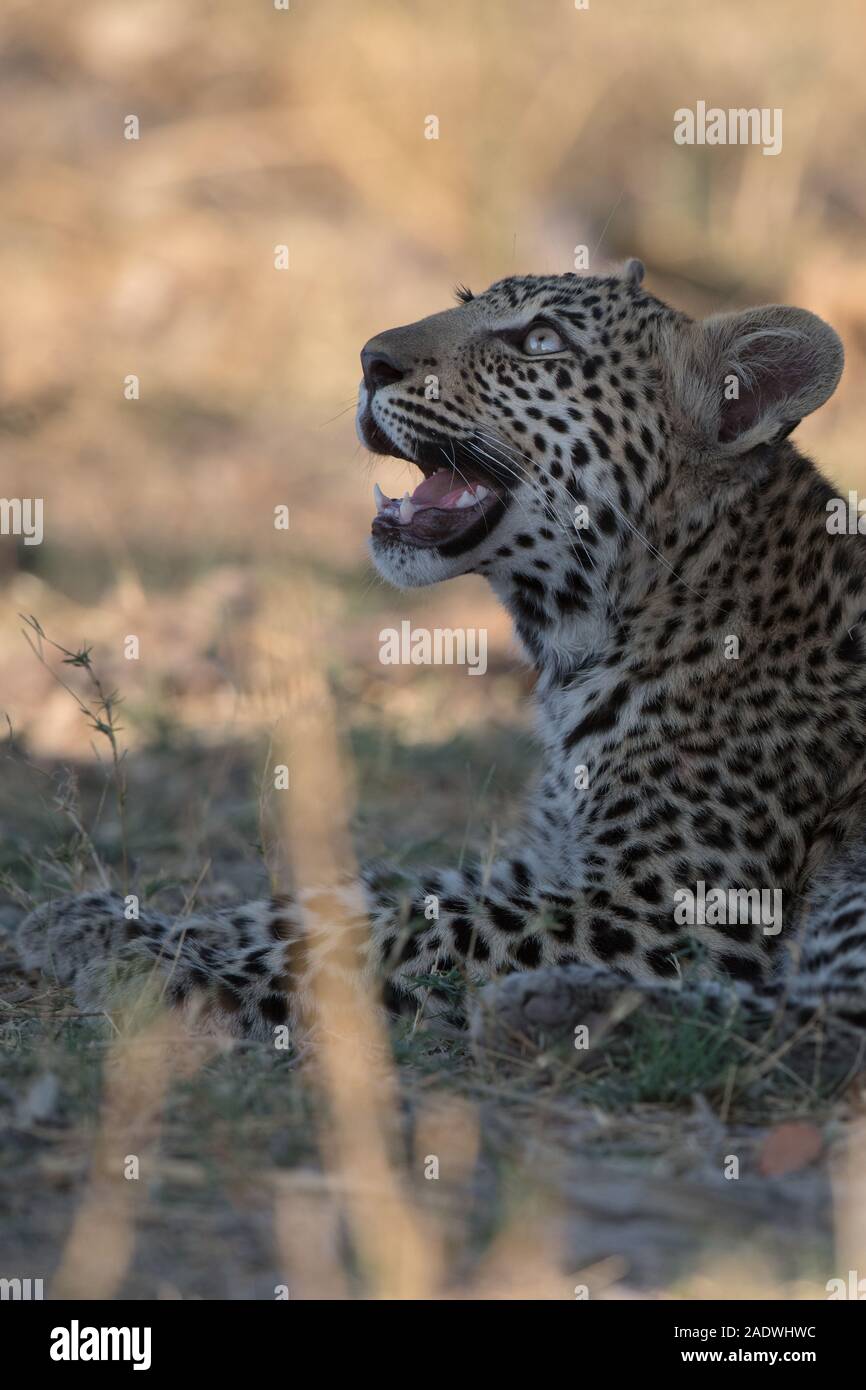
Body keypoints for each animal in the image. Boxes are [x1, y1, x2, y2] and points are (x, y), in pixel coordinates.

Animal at [16, 258, 866, 1045]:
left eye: (540, 342)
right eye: (467, 305)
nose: (370, 360)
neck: (579, 641)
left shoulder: (672, 903)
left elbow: (421, 929)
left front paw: (175, 971)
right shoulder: (549, 857)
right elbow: (358, 892)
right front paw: (104, 922)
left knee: (820, 1019)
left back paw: (551, 1009)